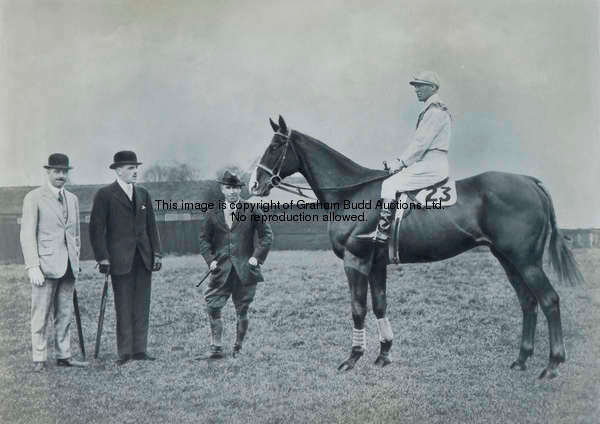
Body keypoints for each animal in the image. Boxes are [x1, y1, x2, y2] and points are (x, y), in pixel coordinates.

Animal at [247, 115, 580, 378]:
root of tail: (529, 181)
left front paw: (352, 358)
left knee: (549, 300)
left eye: (275, 146)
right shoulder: (376, 264)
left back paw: (552, 364)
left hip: (525, 261)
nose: (253, 184)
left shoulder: (356, 260)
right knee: (528, 302)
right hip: (508, 259)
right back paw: (522, 359)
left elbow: (358, 308)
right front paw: (383, 354)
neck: (352, 193)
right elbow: (380, 305)